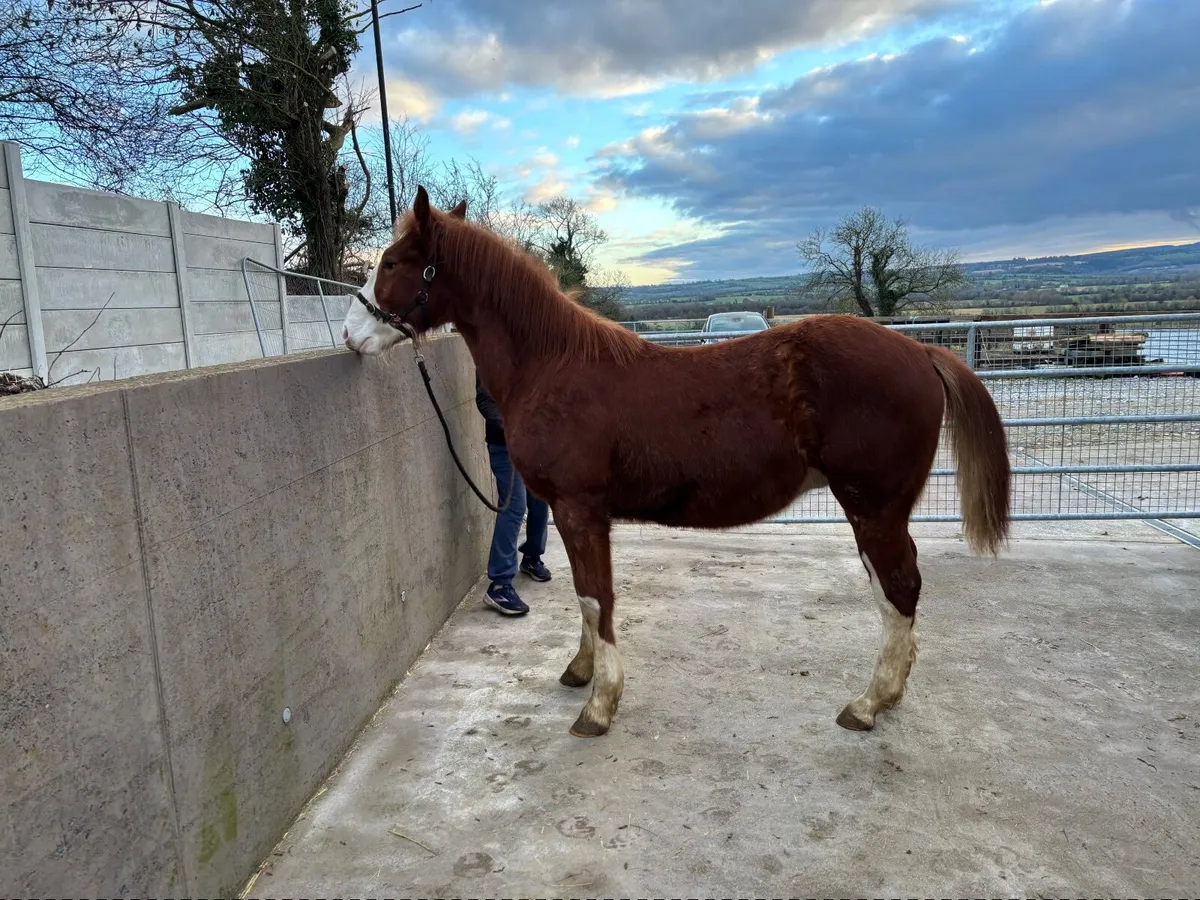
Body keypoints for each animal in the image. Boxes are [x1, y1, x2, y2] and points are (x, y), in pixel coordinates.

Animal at [343, 186, 1011, 738]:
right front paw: (580, 671)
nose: (352, 335)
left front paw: (599, 706)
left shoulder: (580, 509)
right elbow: (586, 598)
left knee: (899, 589)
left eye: (393, 263)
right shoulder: (571, 513)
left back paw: (869, 704)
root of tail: (921, 351)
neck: (553, 364)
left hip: (873, 508)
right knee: (892, 592)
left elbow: (596, 597)